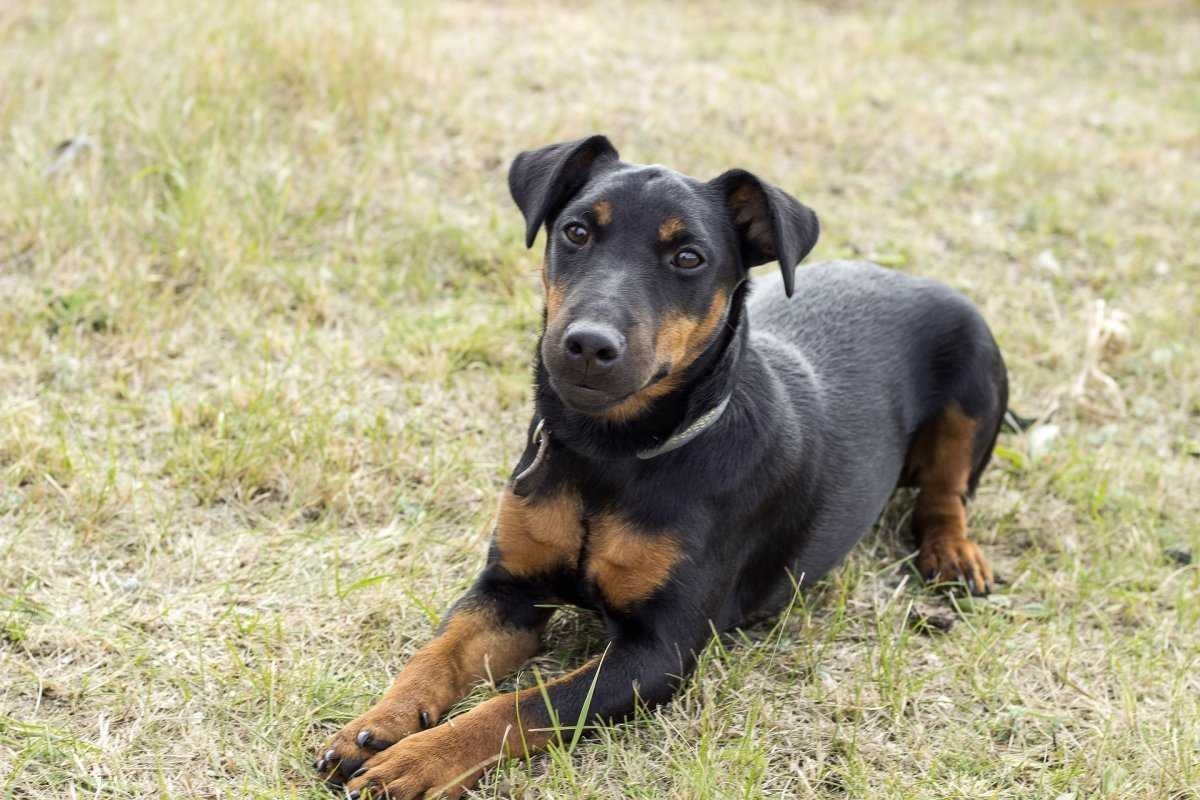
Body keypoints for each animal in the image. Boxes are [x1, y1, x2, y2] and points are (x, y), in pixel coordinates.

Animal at [314, 134, 1008, 796]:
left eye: (688, 258)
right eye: (576, 231)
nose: (588, 345)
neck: (609, 454)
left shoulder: (659, 650)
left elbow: (523, 706)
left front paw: (422, 760)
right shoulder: (508, 590)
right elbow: (436, 654)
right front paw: (376, 727)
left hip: (974, 370)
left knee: (947, 491)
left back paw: (953, 554)